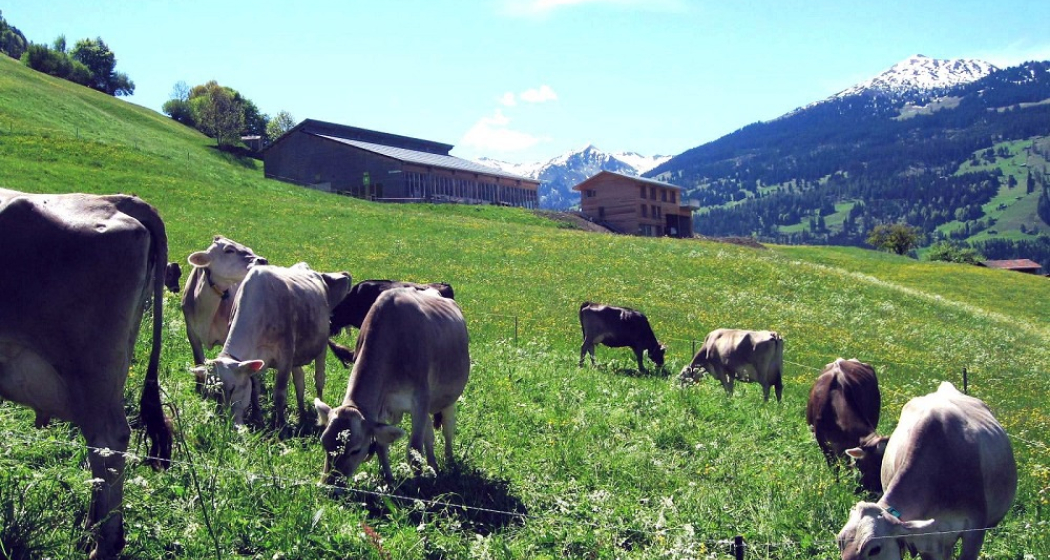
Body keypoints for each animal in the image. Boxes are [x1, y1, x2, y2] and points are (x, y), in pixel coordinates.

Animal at [192, 263, 351, 429]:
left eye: (232, 388)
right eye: (210, 394)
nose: (226, 424)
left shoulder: (285, 356)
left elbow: (279, 394)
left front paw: (281, 426)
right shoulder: (255, 359)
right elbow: (254, 390)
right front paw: (258, 418)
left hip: (321, 346)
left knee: (319, 379)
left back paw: (319, 415)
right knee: (299, 381)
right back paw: (301, 415)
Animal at [315, 287, 470, 484]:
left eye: (355, 450)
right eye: (324, 443)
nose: (328, 483)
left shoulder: (420, 399)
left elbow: (414, 451)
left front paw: (419, 485)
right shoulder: (381, 407)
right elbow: (382, 446)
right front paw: (389, 480)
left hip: (447, 399)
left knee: (448, 430)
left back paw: (449, 462)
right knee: (429, 435)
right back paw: (433, 466)